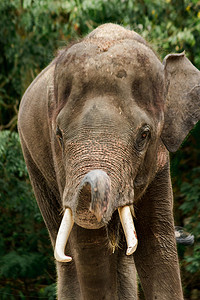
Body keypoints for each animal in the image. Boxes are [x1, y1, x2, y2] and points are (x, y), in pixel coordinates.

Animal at [17, 24, 200, 300]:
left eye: (144, 135)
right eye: (59, 134)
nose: (187, 236)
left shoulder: (159, 163)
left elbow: (156, 241)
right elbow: (86, 244)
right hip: (33, 160)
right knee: (65, 253)